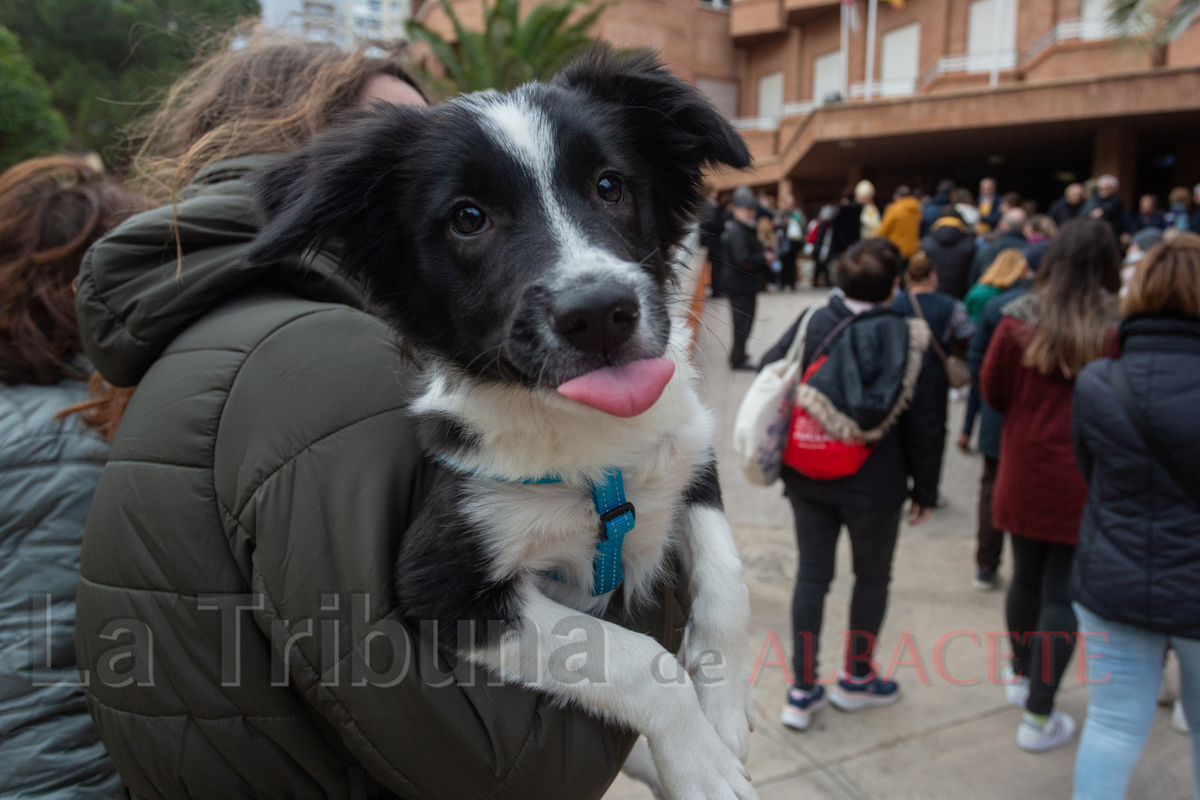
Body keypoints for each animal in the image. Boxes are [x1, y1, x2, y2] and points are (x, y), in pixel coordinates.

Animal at [248, 51, 758, 800]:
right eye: (468, 218)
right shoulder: (442, 585)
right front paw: (704, 766)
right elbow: (636, 658)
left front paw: (724, 708)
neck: (594, 447)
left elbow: (727, 580)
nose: (599, 314)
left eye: (610, 186)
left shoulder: (689, 461)